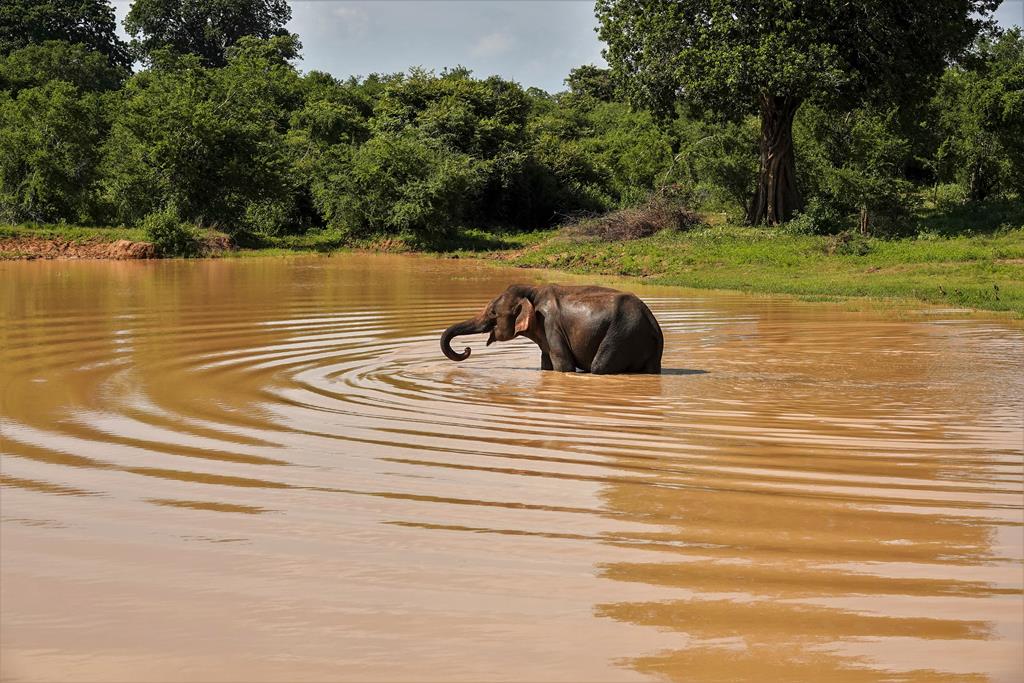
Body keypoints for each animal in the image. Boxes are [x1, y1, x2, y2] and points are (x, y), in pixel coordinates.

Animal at [440, 282, 663, 374]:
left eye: (493, 313)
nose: (467, 349)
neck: (533, 291)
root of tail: (651, 320)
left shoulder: (551, 324)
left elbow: (563, 364)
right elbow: (546, 363)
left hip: (621, 335)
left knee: (599, 368)